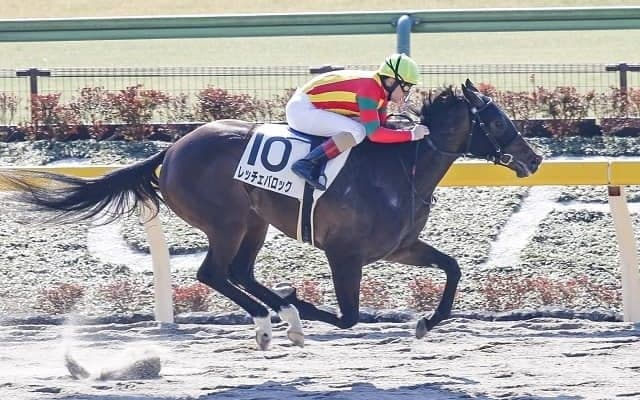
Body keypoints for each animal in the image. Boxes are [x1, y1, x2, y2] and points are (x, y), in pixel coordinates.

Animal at [2, 80, 542, 350]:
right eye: (497, 121)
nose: (534, 158)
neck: (402, 168)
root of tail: (171, 149)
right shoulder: (345, 253)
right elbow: (348, 317)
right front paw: (298, 303)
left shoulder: (399, 247)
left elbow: (451, 267)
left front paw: (429, 321)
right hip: (227, 221)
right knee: (213, 272)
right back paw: (273, 318)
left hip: (254, 221)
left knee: (238, 272)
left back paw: (278, 315)